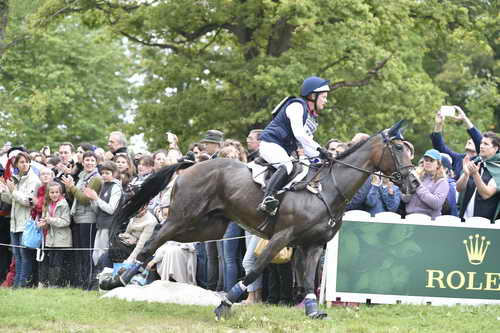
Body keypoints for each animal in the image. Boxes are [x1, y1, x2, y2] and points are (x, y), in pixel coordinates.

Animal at [108, 119, 414, 320]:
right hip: (185, 218)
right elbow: (255, 271)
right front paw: (225, 304)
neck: (328, 188)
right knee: (155, 238)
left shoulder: (313, 245)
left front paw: (312, 310)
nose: (412, 181)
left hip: (207, 228)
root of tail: (192, 164)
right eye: (398, 149)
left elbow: (305, 280)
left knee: (159, 238)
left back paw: (120, 277)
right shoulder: (282, 237)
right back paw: (117, 278)